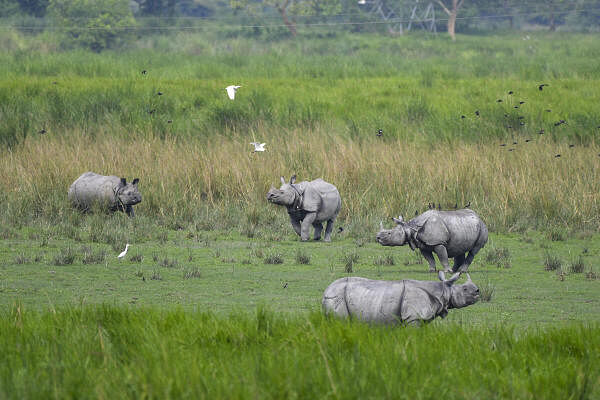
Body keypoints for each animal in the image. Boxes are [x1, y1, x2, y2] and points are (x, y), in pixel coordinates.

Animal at [322, 272, 480, 324]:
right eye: (465, 289)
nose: (478, 291)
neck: (443, 290)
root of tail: (325, 291)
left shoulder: (420, 318)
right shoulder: (414, 317)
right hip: (336, 297)